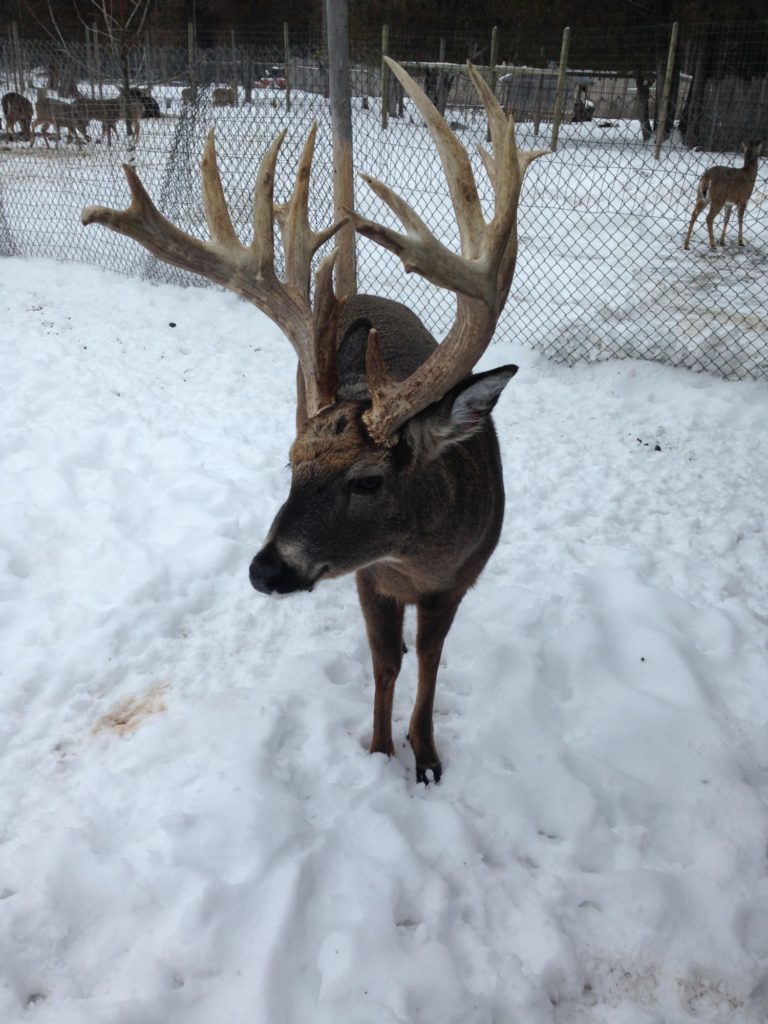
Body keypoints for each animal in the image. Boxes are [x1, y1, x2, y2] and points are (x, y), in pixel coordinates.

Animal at [81, 60, 547, 783]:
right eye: (290, 464)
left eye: (369, 480)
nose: (265, 569)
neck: (415, 558)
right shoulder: (370, 579)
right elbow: (386, 662)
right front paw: (380, 752)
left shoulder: (459, 578)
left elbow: (429, 661)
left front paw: (427, 757)